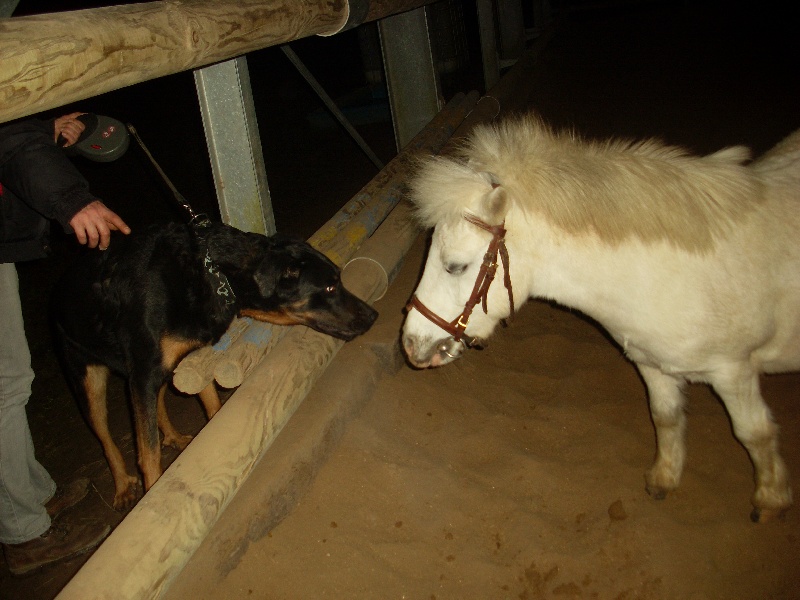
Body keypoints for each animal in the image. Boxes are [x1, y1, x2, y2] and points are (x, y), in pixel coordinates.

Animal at [53, 223, 378, 508]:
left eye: (338, 281)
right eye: (330, 287)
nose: (373, 315)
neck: (214, 274)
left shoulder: (186, 363)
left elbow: (212, 406)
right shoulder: (143, 373)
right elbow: (149, 454)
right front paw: (151, 492)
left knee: (159, 400)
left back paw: (173, 436)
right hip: (87, 381)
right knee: (105, 437)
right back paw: (122, 486)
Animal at [406, 116, 800, 520]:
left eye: (456, 266)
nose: (409, 343)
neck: (670, 276)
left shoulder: (733, 372)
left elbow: (755, 433)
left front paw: (771, 499)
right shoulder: (652, 364)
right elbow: (665, 416)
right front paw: (664, 477)